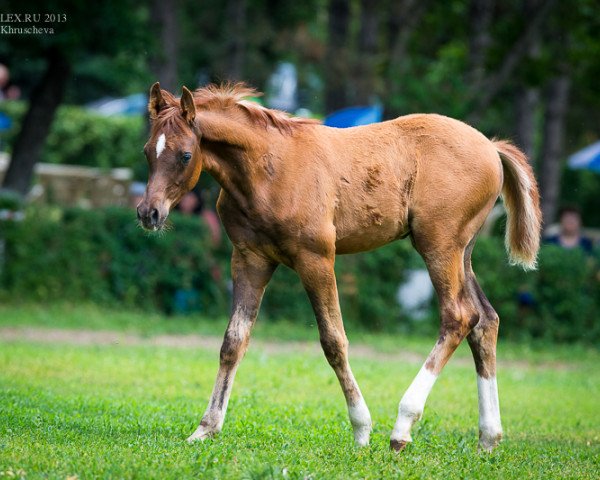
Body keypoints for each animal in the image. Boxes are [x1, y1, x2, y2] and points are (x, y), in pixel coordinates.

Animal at [138, 82, 540, 450]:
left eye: (185, 155)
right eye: (147, 151)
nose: (148, 213)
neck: (266, 169)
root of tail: (491, 146)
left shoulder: (316, 259)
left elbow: (334, 341)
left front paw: (362, 429)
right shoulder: (250, 259)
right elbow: (233, 342)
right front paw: (206, 428)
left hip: (438, 245)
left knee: (458, 317)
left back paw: (402, 426)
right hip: (462, 251)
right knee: (485, 321)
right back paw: (488, 437)